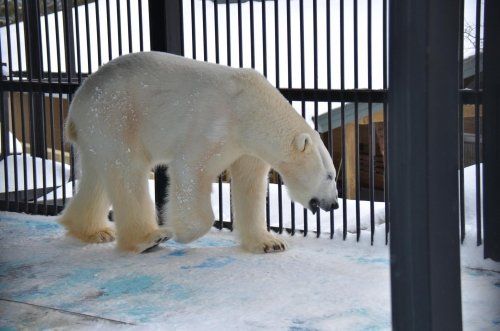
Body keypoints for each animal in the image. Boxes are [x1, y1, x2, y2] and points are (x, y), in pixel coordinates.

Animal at [59, 52, 340, 254]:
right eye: (329, 176)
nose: (335, 204)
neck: (250, 109)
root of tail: (76, 104)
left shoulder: (247, 148)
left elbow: (250, 186)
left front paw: (270, 242)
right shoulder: (215, 125)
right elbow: (191, 169)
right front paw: (185, 232)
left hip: (97, 129)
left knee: (97, 176)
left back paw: (94, 231)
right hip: (115, 115)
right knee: (127, 171)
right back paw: (149, 238)